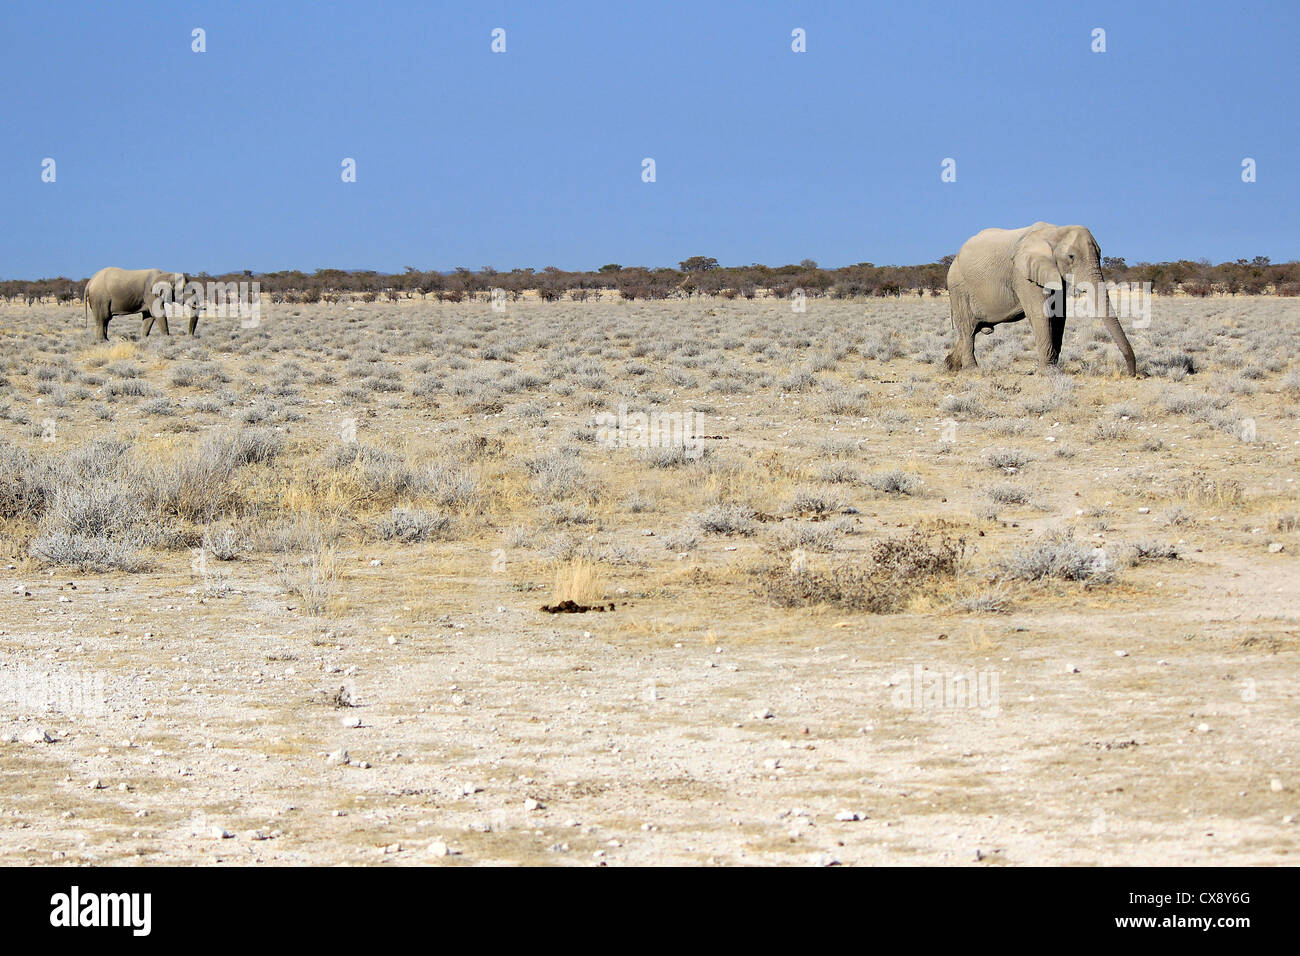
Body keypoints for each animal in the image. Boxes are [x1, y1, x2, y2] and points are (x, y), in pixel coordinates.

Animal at [946, 222, 1138, 374]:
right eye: (1071, 257)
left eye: (1099, 254)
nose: (1131, 374)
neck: (1054, 232)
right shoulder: (1022, 275)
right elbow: (1040, 314)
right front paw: (1047, 372)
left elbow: (1059, 316)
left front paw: (1053, 368)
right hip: (958, 286)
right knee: (968, 328)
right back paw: (971, 370)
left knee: (972, 329)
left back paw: (950, 365)